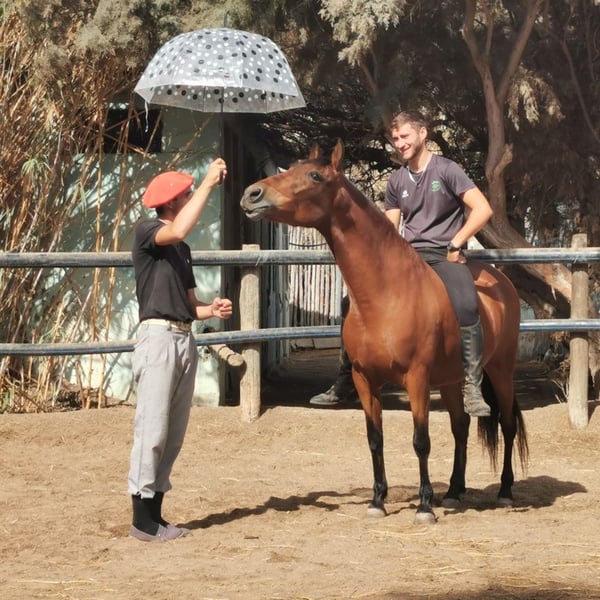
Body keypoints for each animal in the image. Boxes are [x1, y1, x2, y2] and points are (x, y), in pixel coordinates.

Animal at [240, 141, 528, 524]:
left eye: (314, 175)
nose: (252, 194)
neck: (386, 293)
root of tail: (502, 282)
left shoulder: (417, 380)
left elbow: (421, 441)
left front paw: (424, 506)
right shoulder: (365, 380)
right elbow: (374, 439)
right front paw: (378, 500)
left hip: (500, 370)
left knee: (507, 424)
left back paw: (506, 491)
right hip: (451, 380)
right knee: (461, 427)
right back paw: (453, 491)